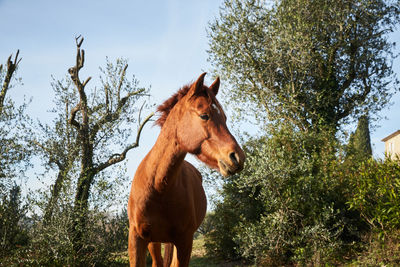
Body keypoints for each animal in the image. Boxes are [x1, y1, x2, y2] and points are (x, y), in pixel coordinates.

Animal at [128, 73, 245, 267]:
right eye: (204, 116)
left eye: (224, 118)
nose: (237, 157)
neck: (158, 187)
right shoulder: (137, 239)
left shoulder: (184, 241)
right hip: (154, 243)